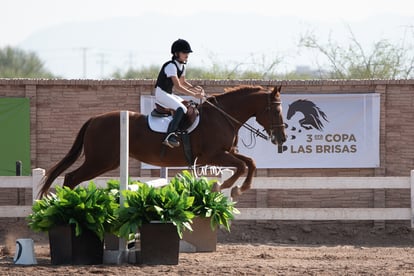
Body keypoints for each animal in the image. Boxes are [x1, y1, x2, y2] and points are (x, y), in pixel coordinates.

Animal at [38, 85, 286, 197]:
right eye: (275, 111)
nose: (282, 139)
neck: (223, 116)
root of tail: (94, 119)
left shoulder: (227, 152)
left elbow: (250, 163)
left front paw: (240, 188)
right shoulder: (214, 155)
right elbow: (242, 165)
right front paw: (226, 186)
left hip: (104, 161)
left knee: (71, 178)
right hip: (101, 161)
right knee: (71, 177)